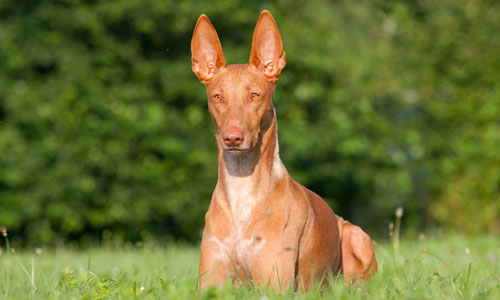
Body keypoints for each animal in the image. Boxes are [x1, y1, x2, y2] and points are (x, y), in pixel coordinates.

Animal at [190, 10, 376, 292]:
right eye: (217, 97)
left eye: (254, 95)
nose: (232, 138)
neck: (242, 190)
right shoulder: (211, 281)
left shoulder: (274, 285)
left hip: (356, 237)